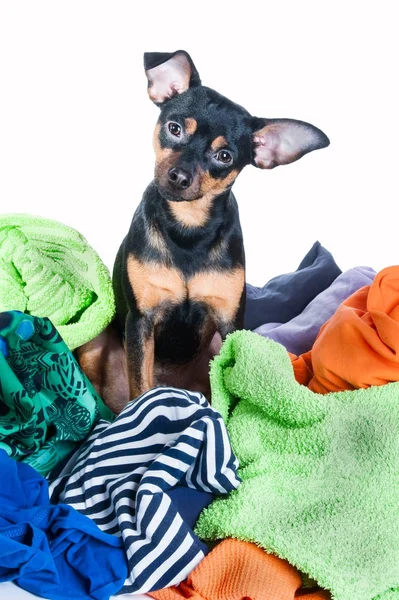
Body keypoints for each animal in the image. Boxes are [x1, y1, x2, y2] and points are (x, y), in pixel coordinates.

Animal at [77, 49, 328, 410]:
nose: (180, 176)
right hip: (96, 339)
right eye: (174, 128)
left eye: (224, 156)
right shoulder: (141, 321)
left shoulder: (229, 325)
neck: (188, 228)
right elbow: (141, 388)